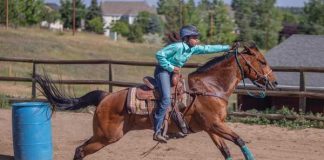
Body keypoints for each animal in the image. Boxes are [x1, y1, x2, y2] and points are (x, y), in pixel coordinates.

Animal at [35, 44, 278, 160]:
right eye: (262, 61)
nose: (274, 82)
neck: (209, 89)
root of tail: (105, 97)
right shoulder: (215, 125)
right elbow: (239, 139)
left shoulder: (212, 128)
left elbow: (226, 150)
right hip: (106, 136)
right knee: (80, 151)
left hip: (104, 135)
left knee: (80, 150)